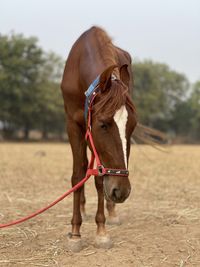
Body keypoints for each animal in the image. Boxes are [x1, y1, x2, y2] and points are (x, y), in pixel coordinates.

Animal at [60, 26, 137, 252]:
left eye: (132, 127)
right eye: (103, 124)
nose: (122, 191)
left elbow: (100, 178)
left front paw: (101, 231)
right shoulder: (74, 125)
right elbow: (78, 174)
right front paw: (75, 233)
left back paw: (111, 212)